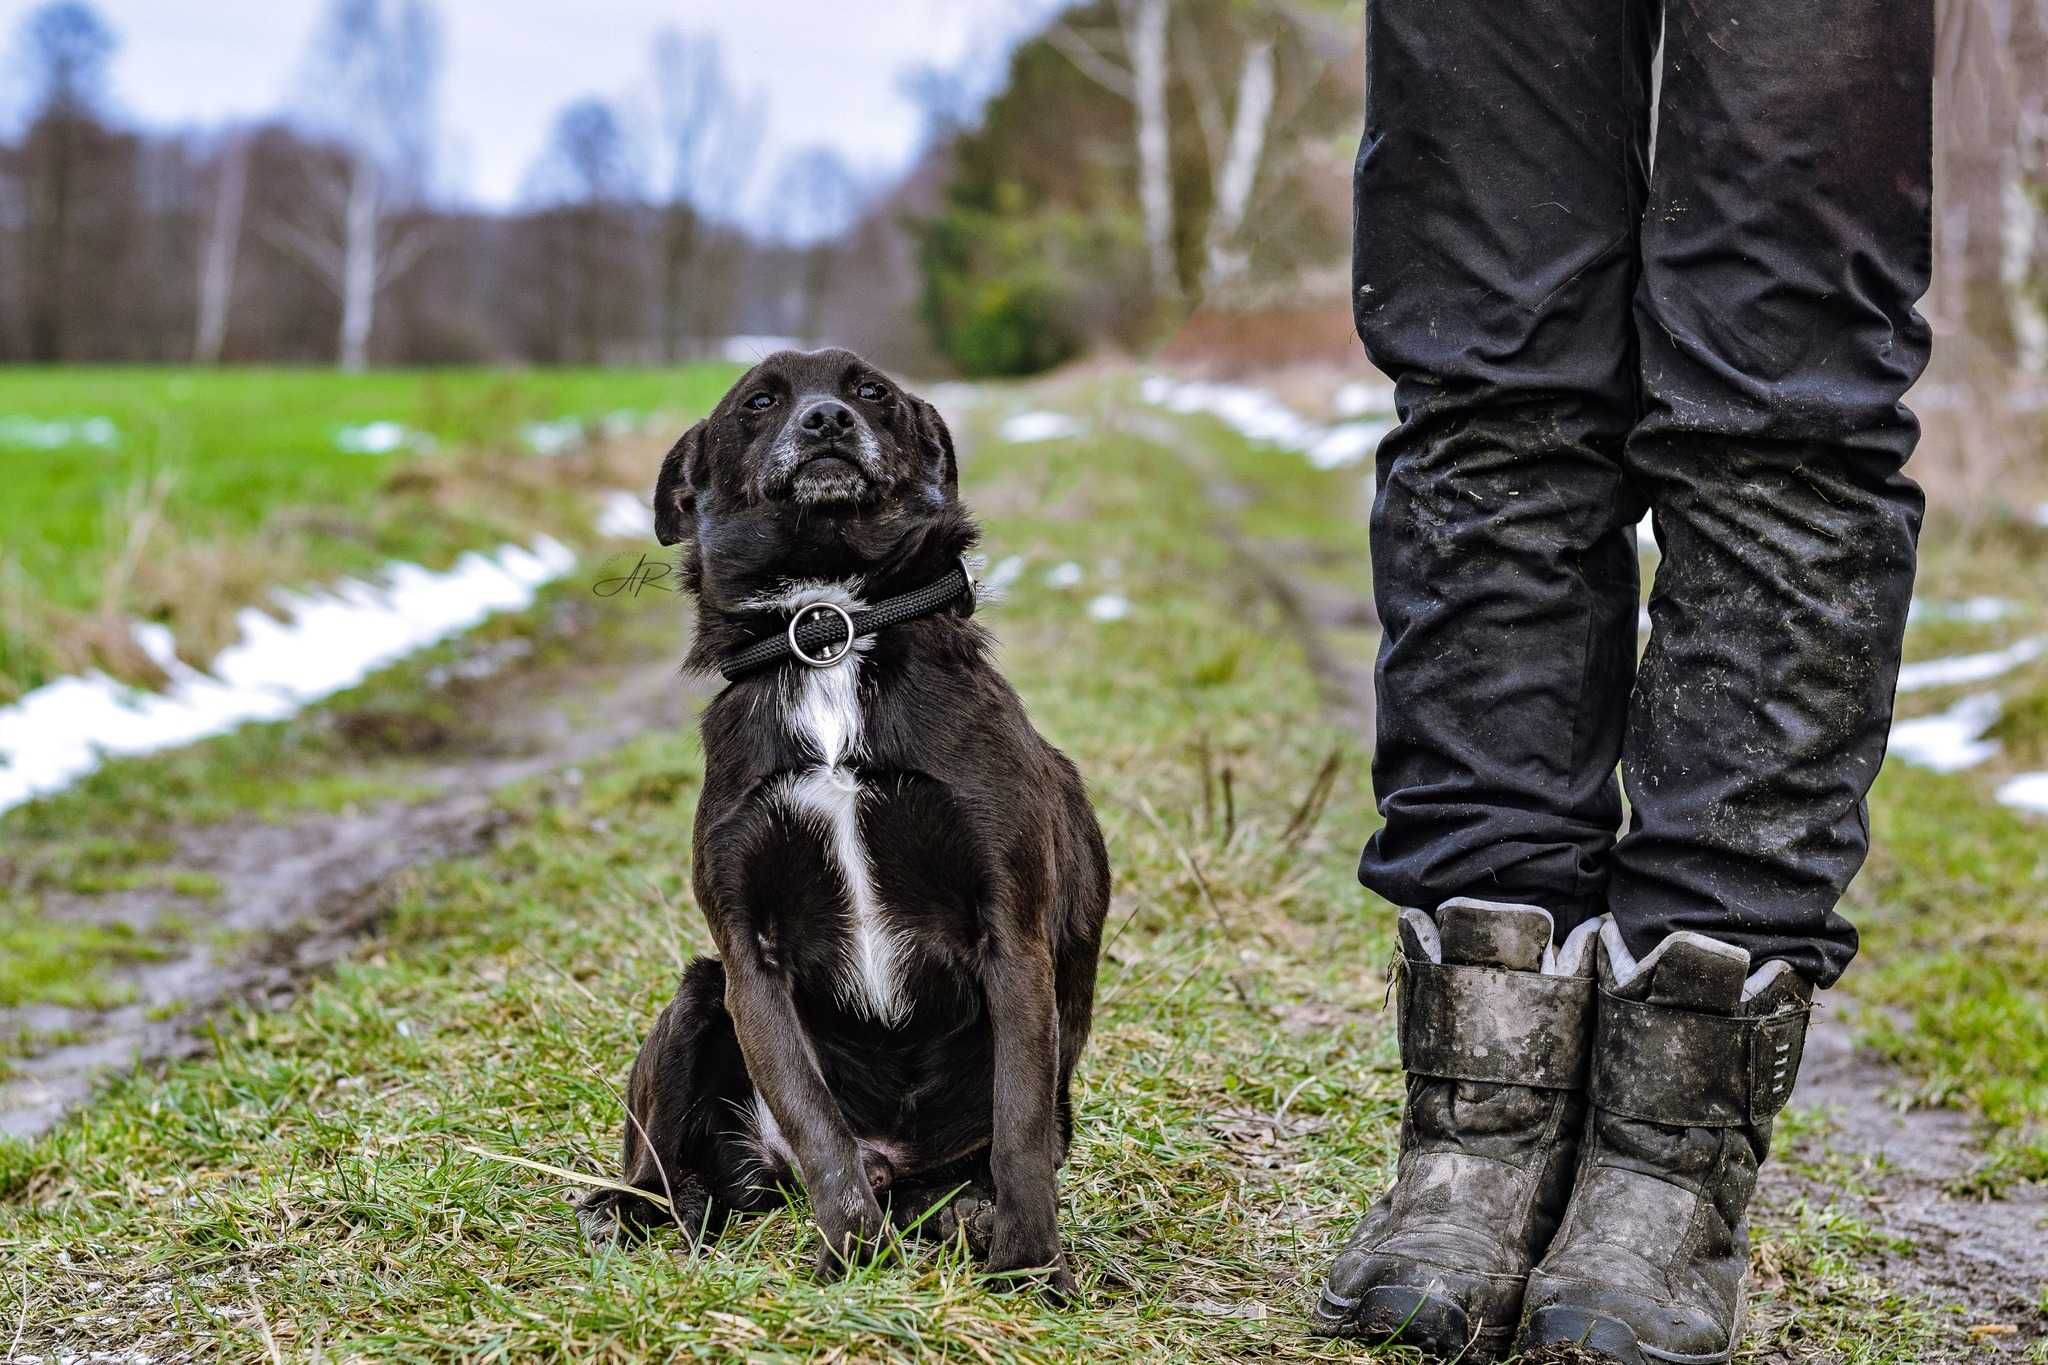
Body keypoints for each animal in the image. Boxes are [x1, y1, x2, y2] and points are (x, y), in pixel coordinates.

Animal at [577, 347, 1114, 1301]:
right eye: (759, 401)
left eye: (871, 391)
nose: (826, 419)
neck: (826, 622)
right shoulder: (747, 952)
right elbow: (818, 1125)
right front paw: (852, 1258)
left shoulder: (1012, 933)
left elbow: (1019, 1129)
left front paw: (1028, 1270)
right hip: (695, 1000)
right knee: (670, 1173)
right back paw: (631, 1208)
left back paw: (969, 1219)